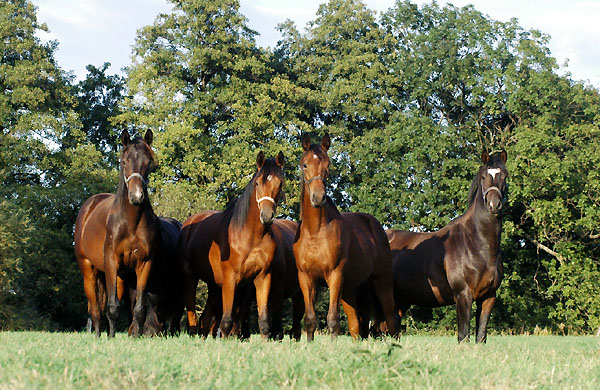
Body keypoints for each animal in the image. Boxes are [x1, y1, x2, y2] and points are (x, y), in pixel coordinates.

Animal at [73, 129, 180, 336]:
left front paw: (135, 336)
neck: (130, 223)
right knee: (95, 308)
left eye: (149, 161)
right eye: (123, 161)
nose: (136, 196)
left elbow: (138, 308)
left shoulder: (144, 265)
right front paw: (111, 338)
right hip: (89, 270)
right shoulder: (111, 263)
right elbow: (112, 307)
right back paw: (98, 335)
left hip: (120, 277)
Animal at [178, 149, 298, 338]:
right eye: (257, 182)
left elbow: (263, 321)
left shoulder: (262, 277)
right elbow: (227, 321)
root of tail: (189, 224)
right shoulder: (230, 279)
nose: (266, 215)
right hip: (190, 277)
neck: (250, 237)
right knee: (193, 316)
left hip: (214, 285)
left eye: (280, 183)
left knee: (205, 319)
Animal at [292, 134, 398, 342]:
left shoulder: (335, 275)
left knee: (391, 318)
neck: (315, 232)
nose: (318, 197)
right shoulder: (305, 278)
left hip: (381, 282)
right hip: (351, 289)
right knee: (356, 325)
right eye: (304, 165)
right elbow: (310, 319)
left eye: (328, 164)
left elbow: (332, 318)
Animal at [386, 148, 508, 342]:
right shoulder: (463, 295)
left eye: (504, 176)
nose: (494, 204)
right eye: (483, 177)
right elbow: (463, 336)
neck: (476, 245)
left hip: (400, 300)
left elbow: (480, 336)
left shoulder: (489, 297)